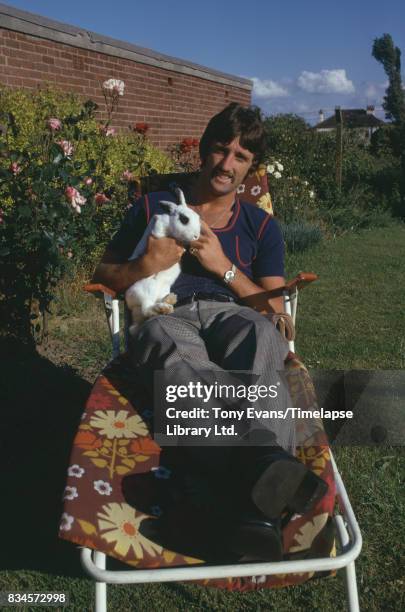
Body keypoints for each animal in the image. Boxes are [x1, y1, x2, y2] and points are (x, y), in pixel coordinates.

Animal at [123, 190, 199, 338]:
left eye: (198, 217)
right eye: (184, 219)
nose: (196, 236)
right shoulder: (157, 229)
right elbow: (158, 231)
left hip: (163, 288)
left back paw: (170, 301)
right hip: (147, 288)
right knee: (147, 309)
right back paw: (163, 308)